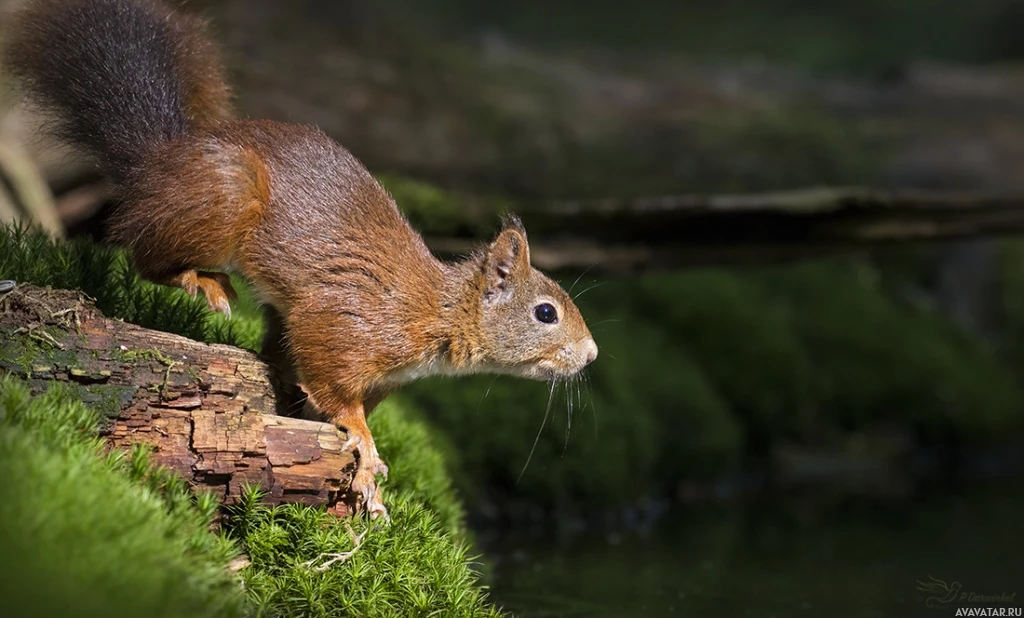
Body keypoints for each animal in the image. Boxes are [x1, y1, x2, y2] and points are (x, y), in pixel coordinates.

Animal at [4, 0, 598, 515]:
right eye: (546, 312)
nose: (591, 355)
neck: (437, 310)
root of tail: (159, 164)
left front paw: (365, 481)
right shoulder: (345, 320)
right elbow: (335, 384)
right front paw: (365, 444)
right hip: (225, 197)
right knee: (142, 251)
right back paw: (202, 280)